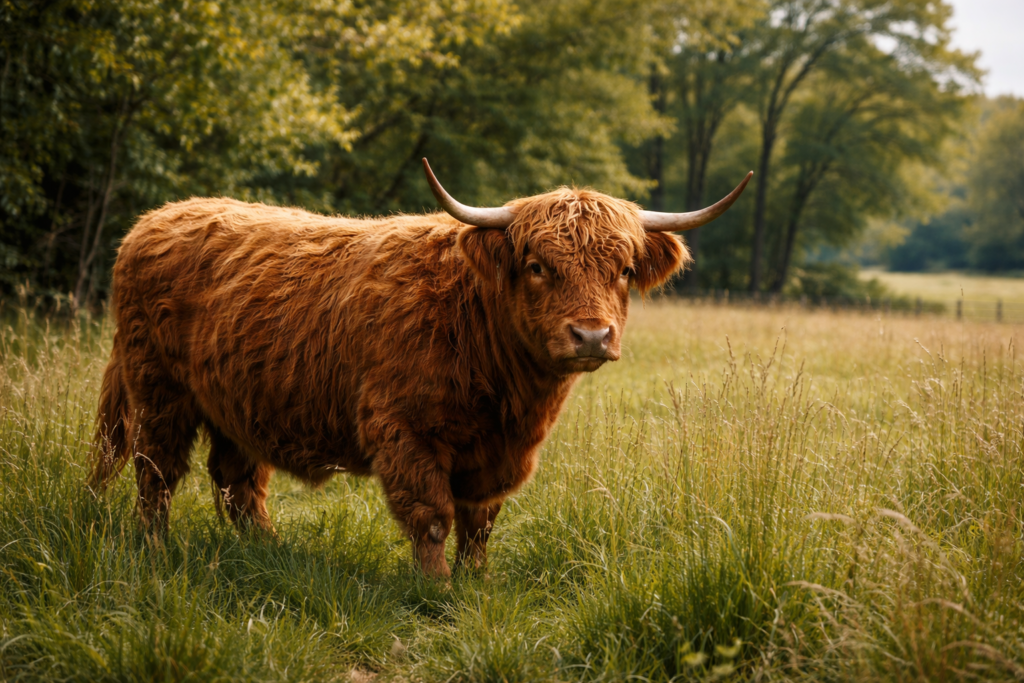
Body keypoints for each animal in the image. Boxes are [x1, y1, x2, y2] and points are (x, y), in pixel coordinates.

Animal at [89, 159, 751, 577]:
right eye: (537, 266)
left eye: (623, 270)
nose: (591, 335)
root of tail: (154, 220)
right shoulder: (405, 431)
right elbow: (433, 517)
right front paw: (434, 589)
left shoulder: (500, 452)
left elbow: (479, 520)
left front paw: (476, 584)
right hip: (159, 389)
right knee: (156, 471)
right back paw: (157, 551)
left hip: (237, 400)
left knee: (237, 481)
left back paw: (270, 552)